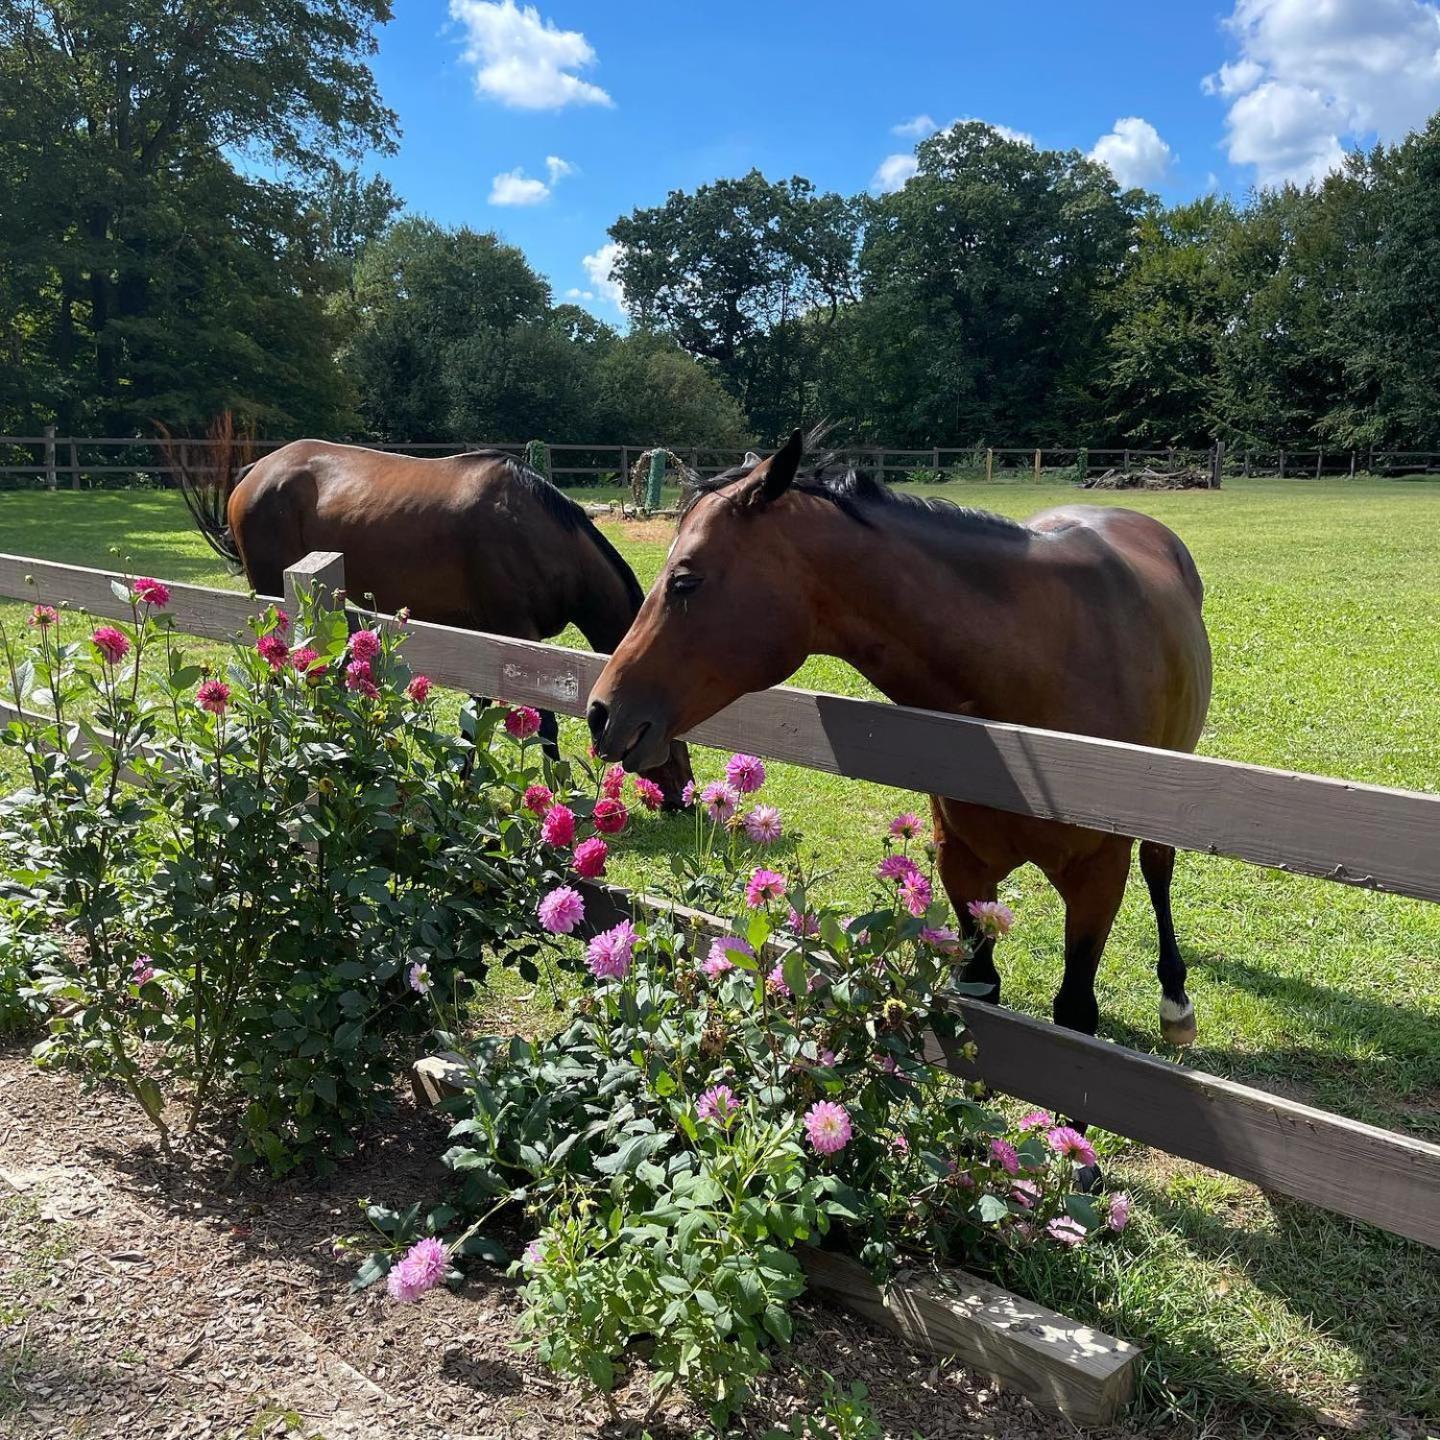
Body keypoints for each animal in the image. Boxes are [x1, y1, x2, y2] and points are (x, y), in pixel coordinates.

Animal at [177, 432, 694, 806]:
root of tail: (255, 472)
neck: (536, 533)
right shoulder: (516, 636)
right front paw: (556, 793)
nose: (681, 798)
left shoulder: (486, 637)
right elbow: (544, 725)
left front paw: (461, 784)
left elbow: (475, 717)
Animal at [587, 426, 1215, 1048]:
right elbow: (981, 990)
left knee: (1159, 867)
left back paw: (1176, 1001)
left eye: (685, 580)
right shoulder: (964, 867)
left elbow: (1076, 1013)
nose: (600, 712)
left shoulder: (1096, 881)